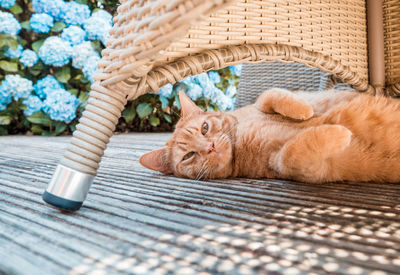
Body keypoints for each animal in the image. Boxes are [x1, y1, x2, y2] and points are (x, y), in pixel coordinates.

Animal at [140, 88, 400, 183]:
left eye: (204, 128)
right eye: (188, 156)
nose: (210, 147)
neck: (241, 140)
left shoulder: (263, 103)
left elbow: (269, 94)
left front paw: (304, 111)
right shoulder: (305, 169)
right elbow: (293, 152)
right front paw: (338, 132)